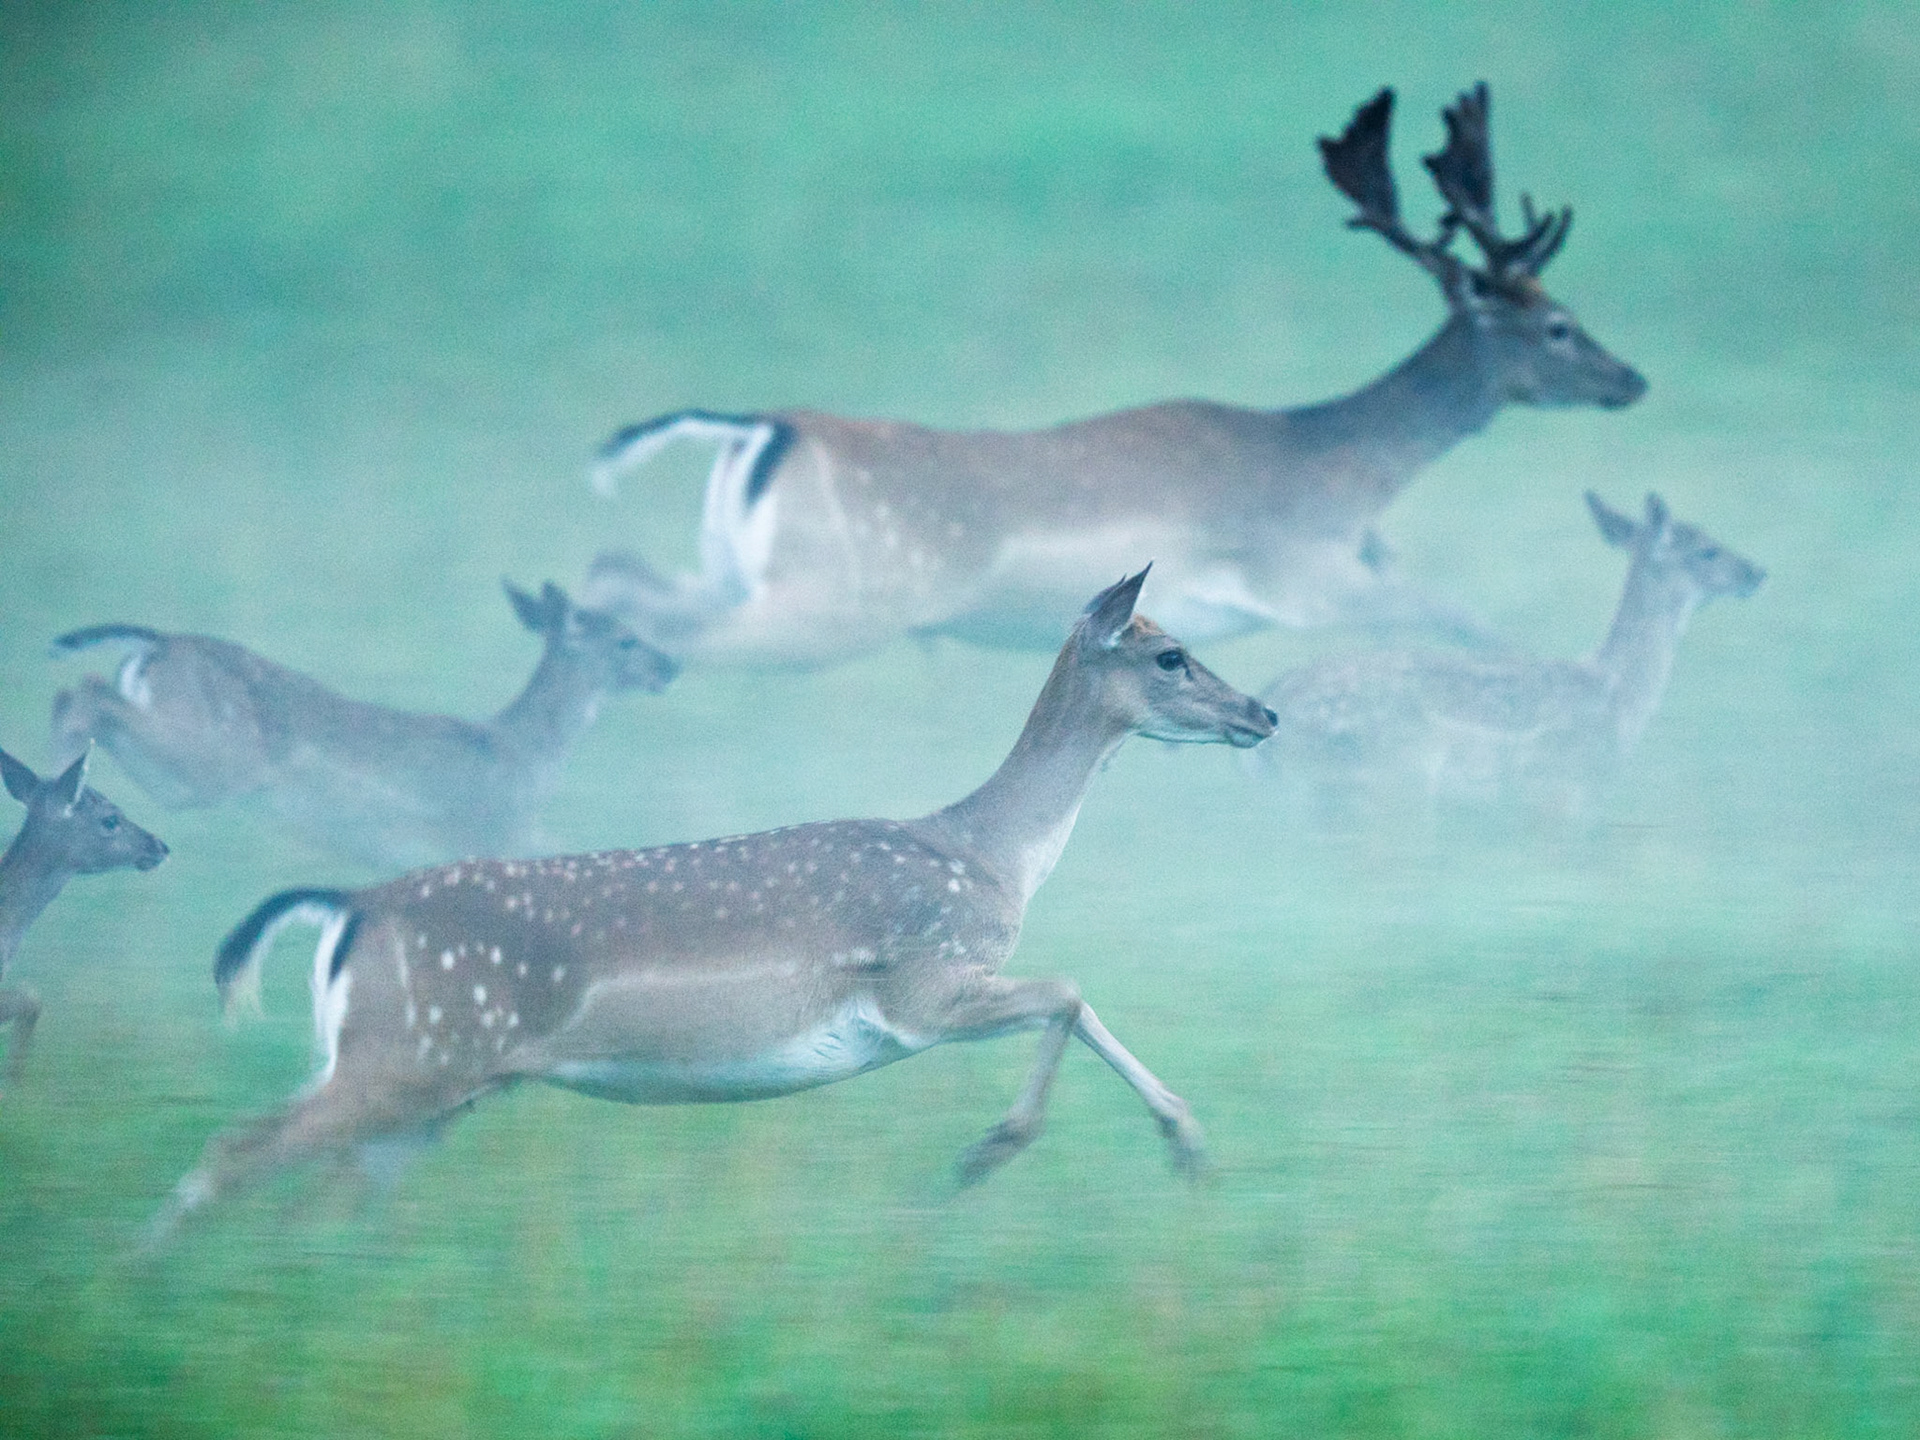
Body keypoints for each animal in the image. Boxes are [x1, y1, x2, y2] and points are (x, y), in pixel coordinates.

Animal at [50, 581, 677, 871]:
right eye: (626, 639)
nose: (670, 666)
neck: (524, 752)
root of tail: (158, 642)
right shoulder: (491, 826)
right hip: (216, 755)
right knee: (87, 692)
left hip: (193, 772)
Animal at [149, 571, 1278, 1234]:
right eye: (1170, 653)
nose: (1262, 712)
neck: (991, 857)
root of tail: (345, 910)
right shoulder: (920, 982)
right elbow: (1068, 990)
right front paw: (990, 1153)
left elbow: (1073, 999)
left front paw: (1186, 1144)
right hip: (410, 1057)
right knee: (232, 1154)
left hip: (435, 1086)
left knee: (320, 1193)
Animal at [582, 82, 1645, 670]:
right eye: (1558, 325)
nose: (1632, 379)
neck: (1344, 471)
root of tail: (759, 429)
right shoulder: (1305, 573)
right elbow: (1469, 619)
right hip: (837, 605)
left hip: (740, 575)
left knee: (615, 576)